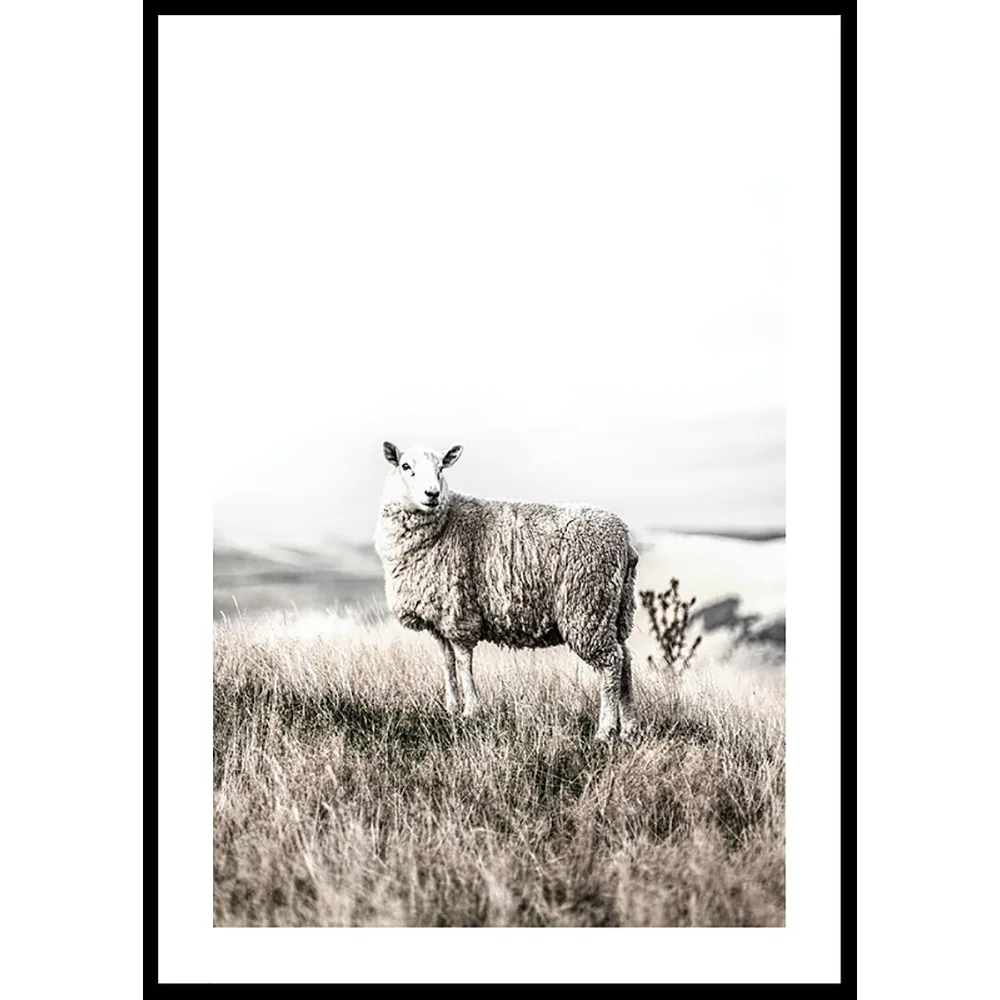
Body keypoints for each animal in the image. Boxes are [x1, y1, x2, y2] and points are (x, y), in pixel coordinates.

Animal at [373, 441, 639, 740]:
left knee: (611, 663)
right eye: (405, 466)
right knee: (625, 660)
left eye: (441, 468)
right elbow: (447, 663)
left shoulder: (460, 613)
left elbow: (463, 663)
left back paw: (605, 730)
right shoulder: (440, 619)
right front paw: (451, 708)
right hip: (615, 609)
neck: (445, 523)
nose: (433, 494)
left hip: (587, 606)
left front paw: (470, 711)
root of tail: (625, 540)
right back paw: (629, 728)